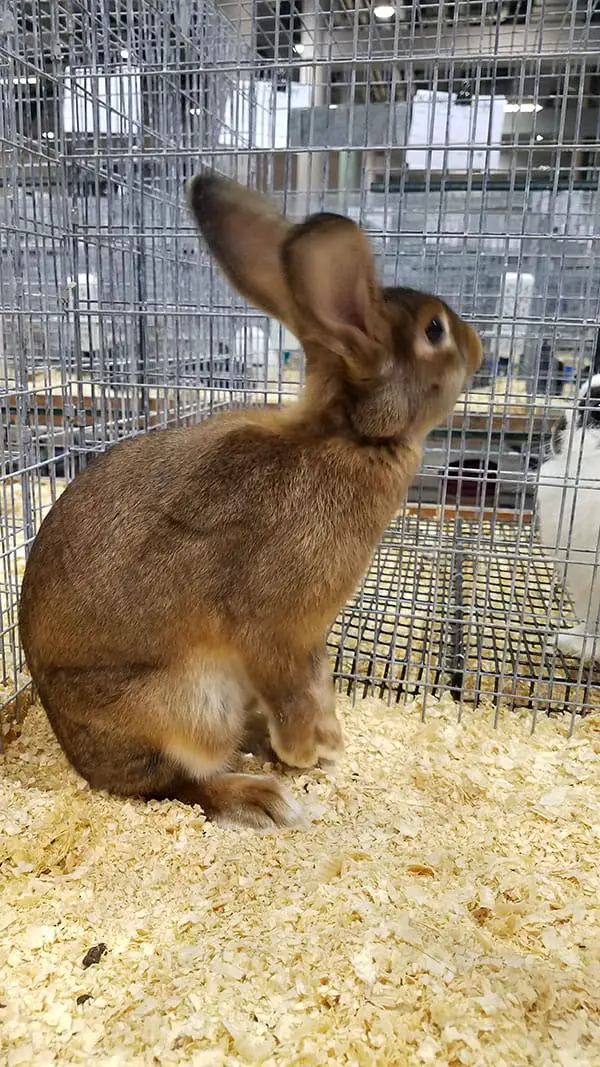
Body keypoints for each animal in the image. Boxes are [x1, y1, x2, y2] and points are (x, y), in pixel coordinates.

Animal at [18, 172, 482, 829]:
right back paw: (260, 796)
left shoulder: (309, 640)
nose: (478, 343)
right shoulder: (278, 626)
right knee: (177, 781)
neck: (349, 436)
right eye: (435, 331)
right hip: (190, 705)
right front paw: (307, 750)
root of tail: (81, 757)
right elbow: (291, 685)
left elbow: (316, 683)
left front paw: (327, 743)